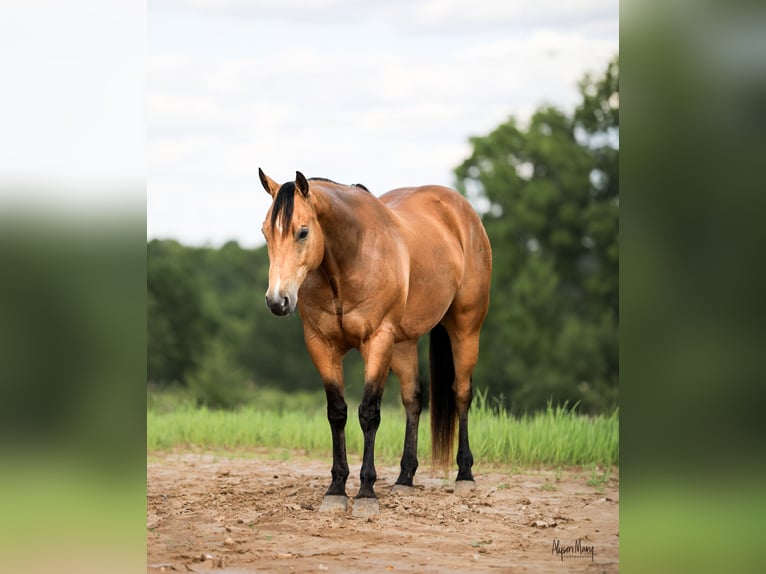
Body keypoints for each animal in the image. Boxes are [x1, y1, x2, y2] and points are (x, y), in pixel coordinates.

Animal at [260, 170, 496, 516]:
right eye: (265, 233)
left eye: (302, 232)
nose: (278, 301)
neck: (348, 261)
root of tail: (462, 212)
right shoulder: (322, 346)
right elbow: (337, 413)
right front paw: (336, 489)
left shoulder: (378, 341)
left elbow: (369, 413)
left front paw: (366, 493)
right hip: (403, 344)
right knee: (413, 400)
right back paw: (405, 478)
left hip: (465, 328)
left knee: (461, 393)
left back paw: (464, 474)